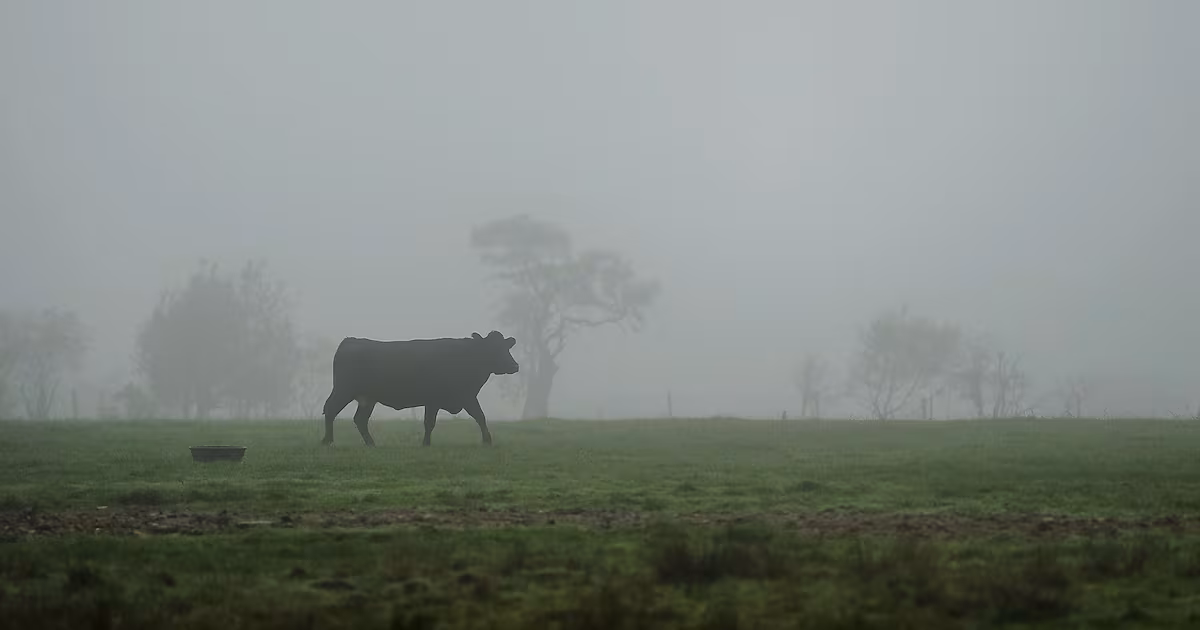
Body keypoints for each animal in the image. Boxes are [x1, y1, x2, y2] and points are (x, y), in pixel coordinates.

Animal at [321, 330, 518, 447]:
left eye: (506, 347)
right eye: (494, 349)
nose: (515, 366)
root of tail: (350, 340)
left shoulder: (465, 396)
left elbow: (479, 416)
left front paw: (487, 440)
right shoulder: (441, 398)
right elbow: (430, 422)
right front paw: (426, 443)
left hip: (368, 398)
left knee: (360, 419)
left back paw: (371, 443)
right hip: (343, 390)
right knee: (330, 410)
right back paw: (327, 440)